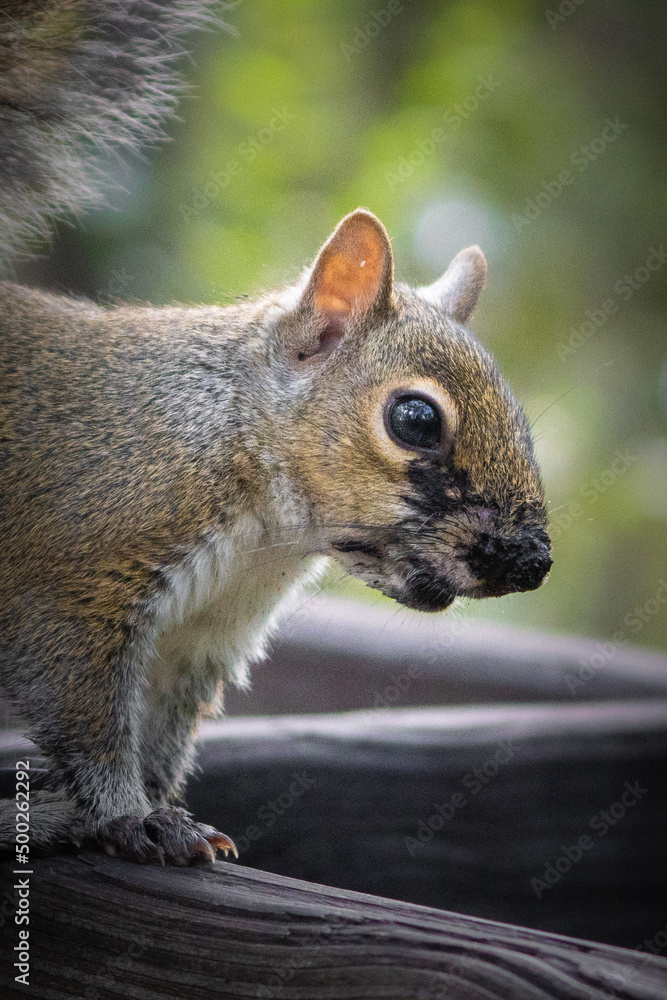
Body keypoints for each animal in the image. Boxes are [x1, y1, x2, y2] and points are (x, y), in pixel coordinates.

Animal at [0, 1, 551, 865]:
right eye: (415, 419)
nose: (532, 562)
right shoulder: (75, 584)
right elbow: (89, 721)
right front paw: (127, 816)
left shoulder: (198, 638)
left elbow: (157, 733)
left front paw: (163, 813)